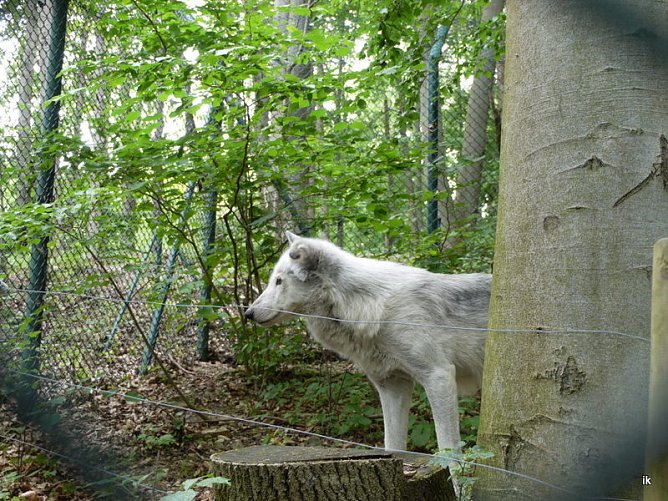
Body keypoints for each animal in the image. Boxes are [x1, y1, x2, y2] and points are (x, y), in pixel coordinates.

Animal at [245, 232, 491, 454]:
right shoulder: (393, 385)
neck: (368, 307)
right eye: (272, 280)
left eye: (279, 281)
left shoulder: (439, 376)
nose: (248, 313)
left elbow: (449, 454)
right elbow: (393, 447)